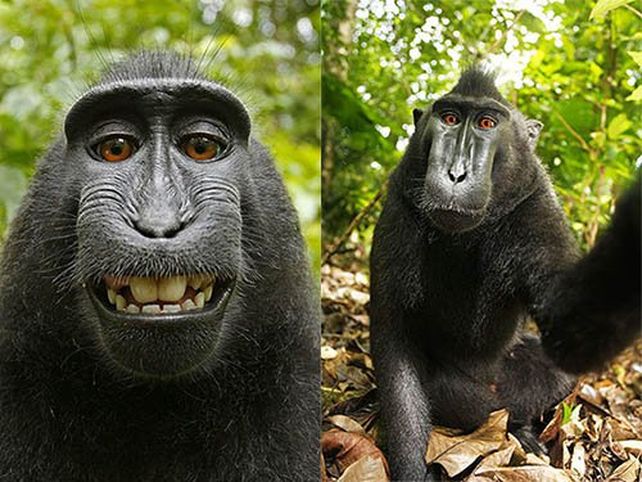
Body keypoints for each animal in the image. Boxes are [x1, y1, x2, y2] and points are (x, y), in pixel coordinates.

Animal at [369, 67, 641, 481]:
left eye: (486, 123)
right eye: (450, 118)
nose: (456, 174)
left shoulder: (537, 207)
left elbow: (569, 332)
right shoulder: (400, 208)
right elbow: (394, 338)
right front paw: (411, 469)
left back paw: (522, 430)